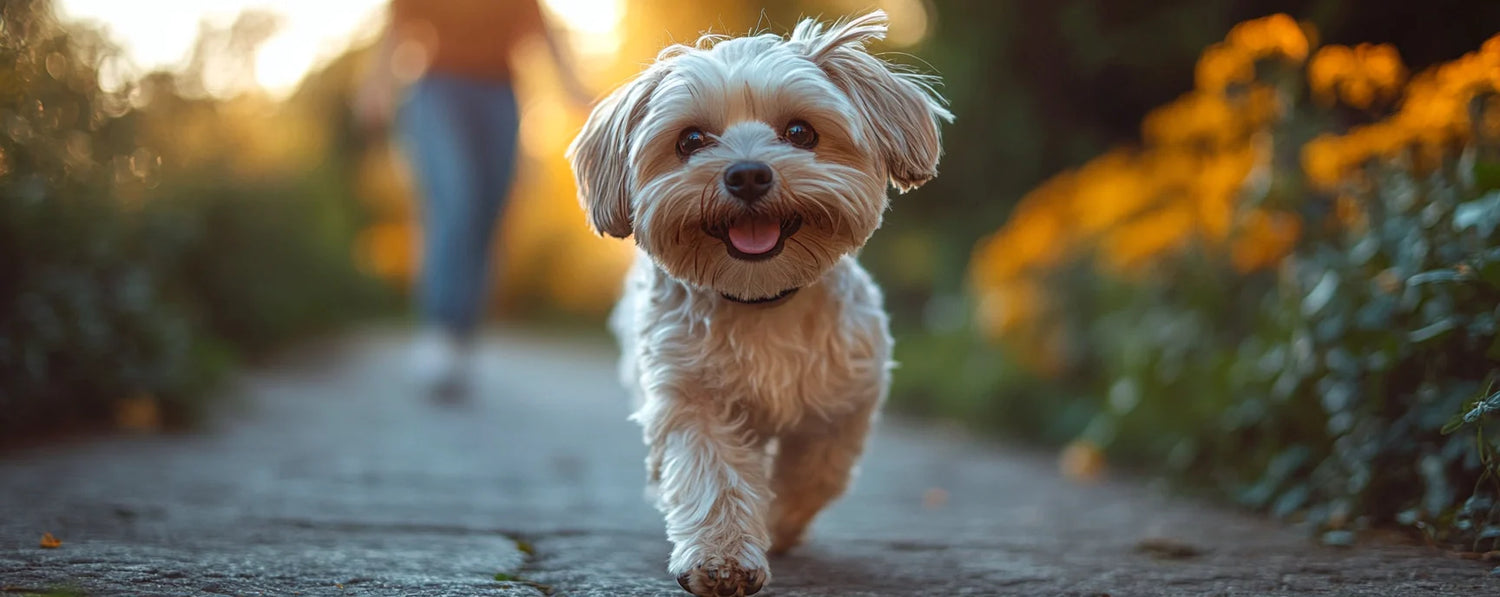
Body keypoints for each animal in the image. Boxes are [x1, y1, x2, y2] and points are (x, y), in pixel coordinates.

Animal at [564, 10, 948, 597]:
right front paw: (722, 557)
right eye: (691, 140)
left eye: (800, 132)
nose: (747, 173)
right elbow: (712, 473)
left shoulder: (847, 401)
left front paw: (778, 522)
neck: (761, 298)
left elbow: (816, 471)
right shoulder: (689, 396)